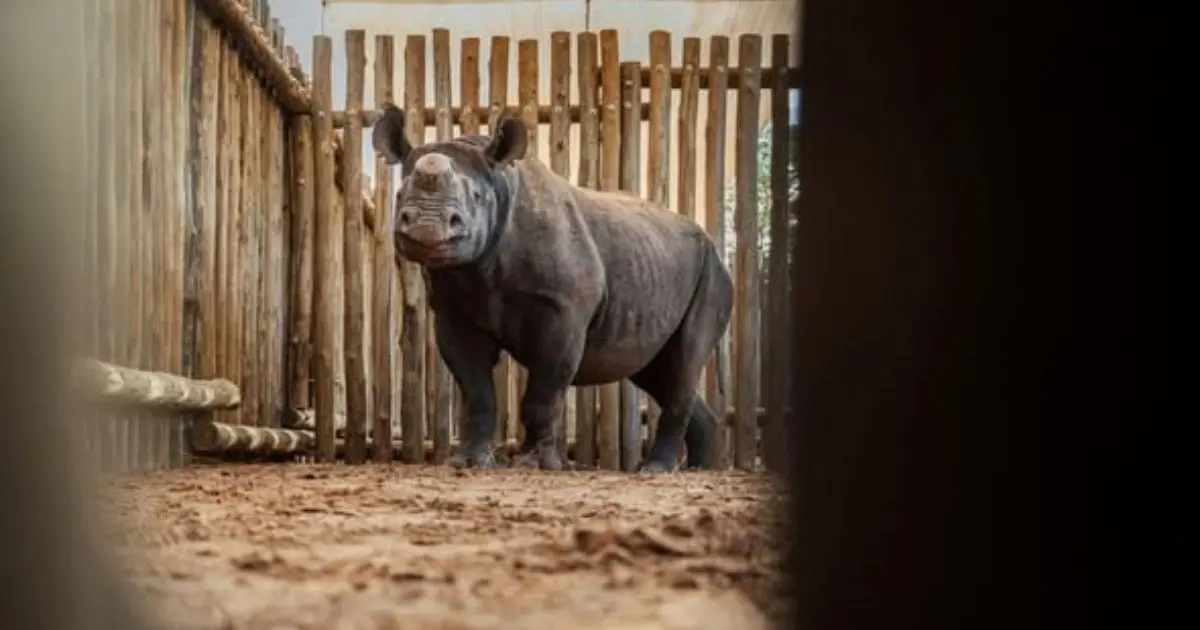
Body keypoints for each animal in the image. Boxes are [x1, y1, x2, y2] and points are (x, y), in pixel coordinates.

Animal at [371, 103, 733, 473]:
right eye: (399, 194)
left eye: (476, 197)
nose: (427, 229)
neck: (499, 185)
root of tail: (711, 241)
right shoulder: (453, 312)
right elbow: (477, 391)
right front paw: (468, 462)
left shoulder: (563, 313)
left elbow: (543, 392)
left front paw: (535, 464)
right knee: (655, 369)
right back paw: (699, 469)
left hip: (713, 273)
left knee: (684, 360)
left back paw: (655, 470)